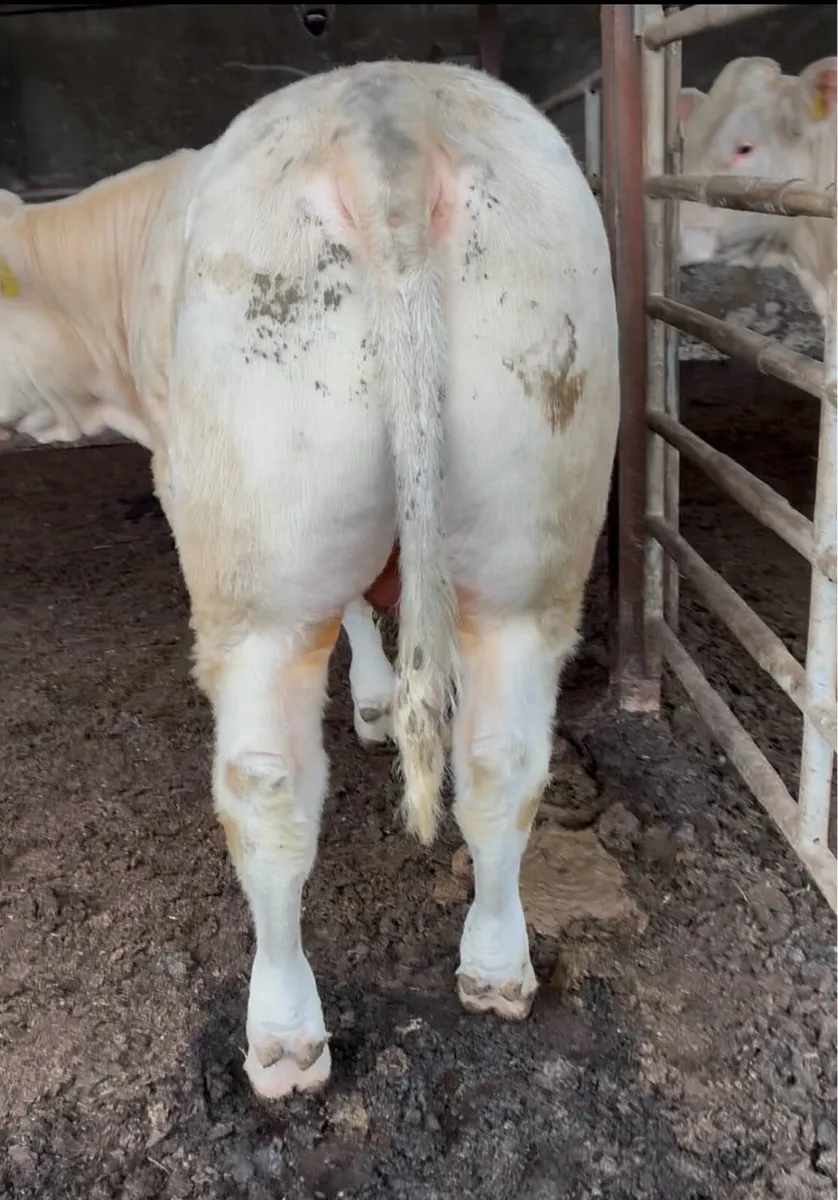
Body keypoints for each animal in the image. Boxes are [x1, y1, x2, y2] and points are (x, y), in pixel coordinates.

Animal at [0, 60, 619, 1099]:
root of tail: (390, 112)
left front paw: (366, 701)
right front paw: (378, 701)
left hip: (261, 574)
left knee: (268, 794)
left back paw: (285, 1035)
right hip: (534, 528)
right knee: (502, 764)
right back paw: (497, 965)